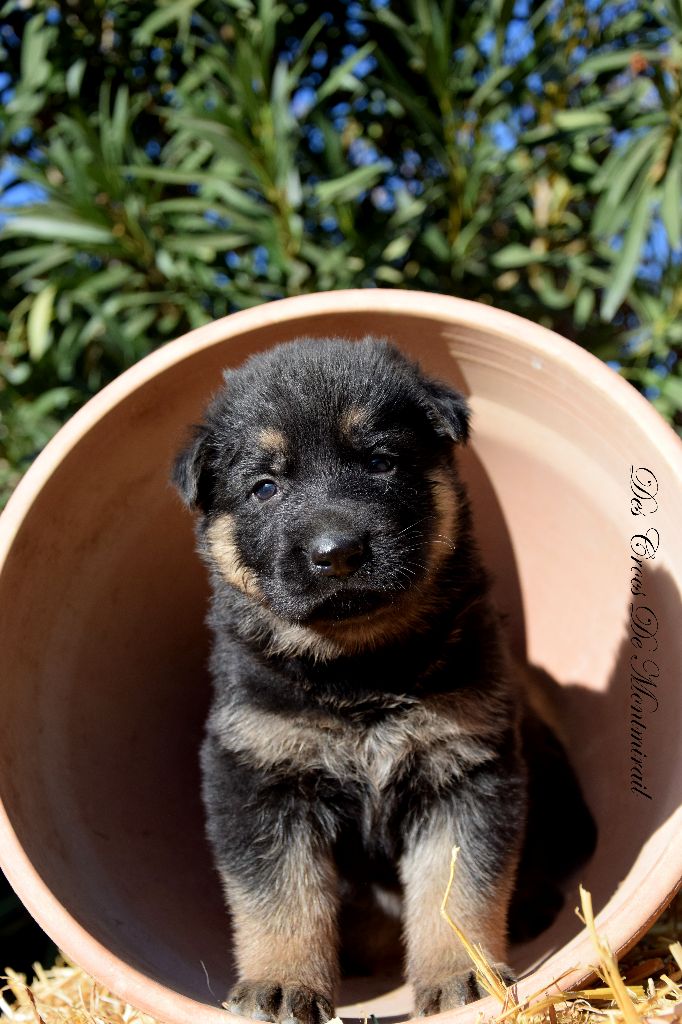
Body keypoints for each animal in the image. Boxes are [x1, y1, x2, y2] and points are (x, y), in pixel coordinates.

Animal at [172, 336, 596, 1023]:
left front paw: (462, 977)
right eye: (265, 487)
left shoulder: (464, 774)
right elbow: (280, 901)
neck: (358, 671)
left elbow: (457, 891)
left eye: (379, 462)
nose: (336, 552)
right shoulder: (260, 778)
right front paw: (281, 986)